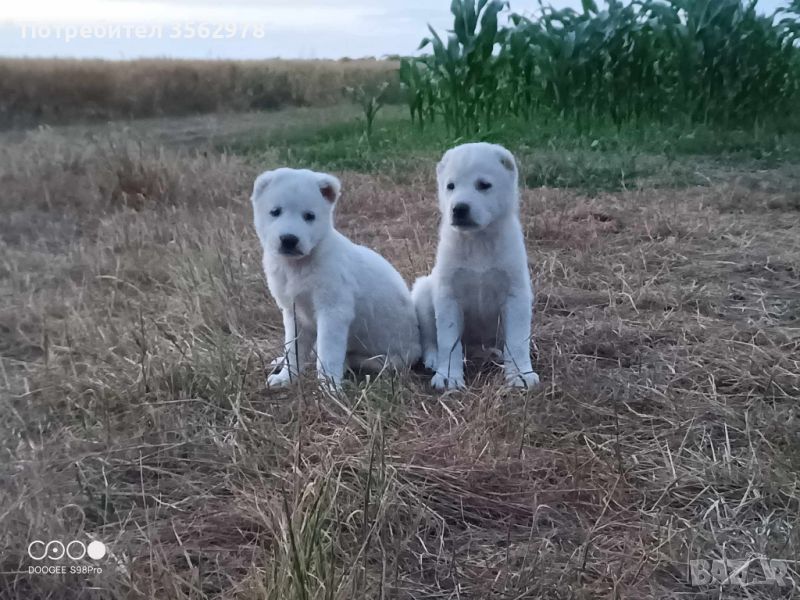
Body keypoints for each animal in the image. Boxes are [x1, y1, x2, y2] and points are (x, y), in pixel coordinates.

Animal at [253, 168, 422, 390]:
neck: (297, 266)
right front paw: (286, 377)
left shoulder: (333, 312)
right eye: (275, 212)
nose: (289, 239)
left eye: (309, 216)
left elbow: (328, 353)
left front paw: (330, 387)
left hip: (386, 359)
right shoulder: (293, 313)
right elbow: (293, 350)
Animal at [412, 143, 536, 392]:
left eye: (483, 185)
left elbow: (517, 341)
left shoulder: (516, 295)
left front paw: (521, 374)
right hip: (424, 291)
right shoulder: (448, 295)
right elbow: (448, 341)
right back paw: (433, 359)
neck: (478, 241)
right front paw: (448, 376)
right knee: (430, 337)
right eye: (450, 186)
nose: (459, 208)